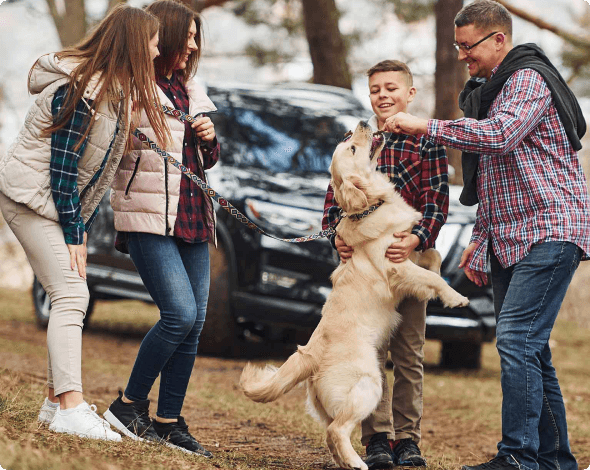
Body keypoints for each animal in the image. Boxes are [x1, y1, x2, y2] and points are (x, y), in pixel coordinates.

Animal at [240, 121, 472, 470]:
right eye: (351, 148)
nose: (360, 125)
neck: (371, 206)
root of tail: (310, 356)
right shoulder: (396, 267)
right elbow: (431, 276)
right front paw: (455, 296)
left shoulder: (409, 248)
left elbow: (432, 255)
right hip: (369, 384)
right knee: (336, 430)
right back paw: (359, 462)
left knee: (331, 433)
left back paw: (348, 463)